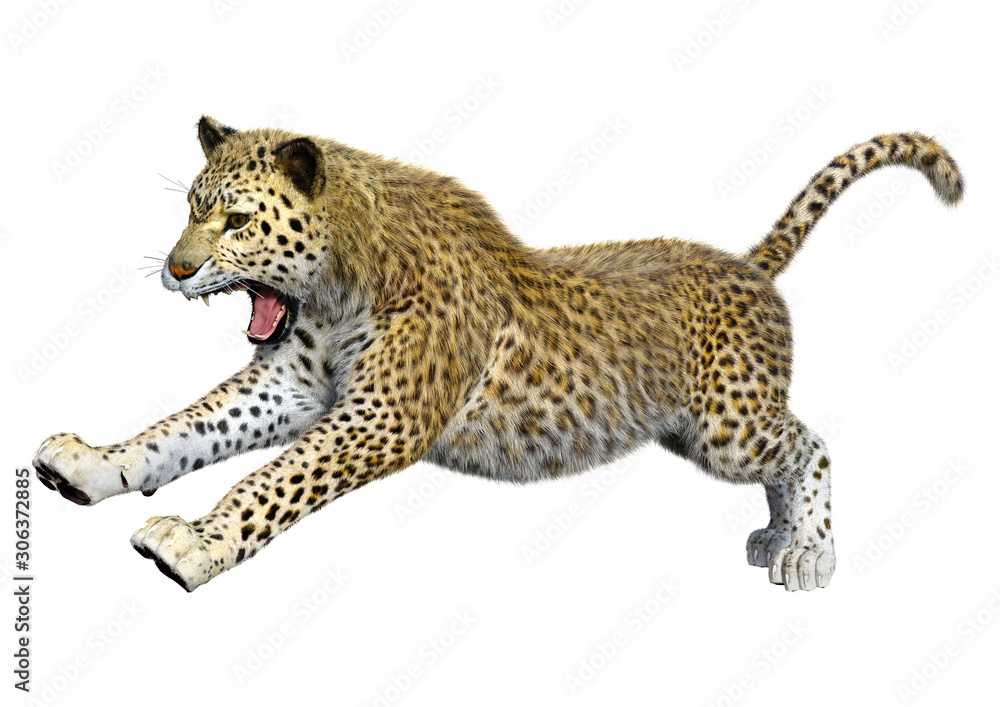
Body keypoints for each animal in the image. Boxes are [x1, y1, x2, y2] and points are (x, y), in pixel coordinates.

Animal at [32, 117, 963, 592]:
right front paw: (93, 463)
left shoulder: (380, 417)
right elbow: (182, 428)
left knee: (810, 444)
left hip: (725, 425)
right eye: (190, 207)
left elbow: (271, 481)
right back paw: (775, 536)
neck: (335, 287)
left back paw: (810, 552)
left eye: (236, 221)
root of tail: (745, 263)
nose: (177, 268)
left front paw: (196, 542)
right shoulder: (292, 388)